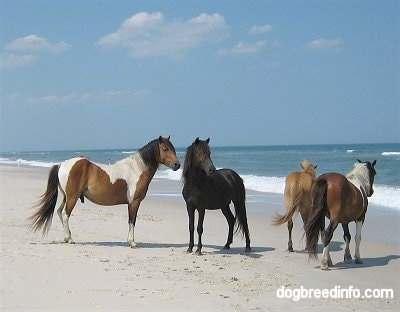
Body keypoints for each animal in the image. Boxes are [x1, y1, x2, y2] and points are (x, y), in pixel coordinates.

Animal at [28, 135, 178, 247]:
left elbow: (131, 221)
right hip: (72, 197)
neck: (137, 170)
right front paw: (132, 242)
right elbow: (132, 221)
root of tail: (62, 164)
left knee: (59, 212)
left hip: (67, 197)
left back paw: (68, 237)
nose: (177, 165)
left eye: (173, 148)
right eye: (165, 149)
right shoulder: (134, 202)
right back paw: (69, 239)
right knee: (65, 214)